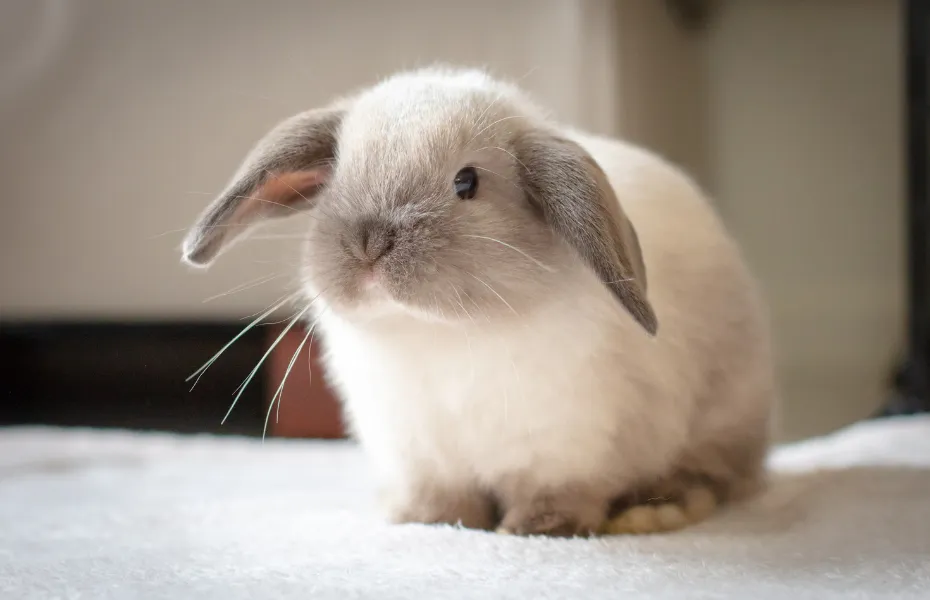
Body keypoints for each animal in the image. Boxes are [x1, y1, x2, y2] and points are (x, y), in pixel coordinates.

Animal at [181, 66, 777, 536]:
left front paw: (538, 528)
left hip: (722, 420)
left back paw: (653, 512)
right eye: (336, 179)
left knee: (714, 478)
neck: (436, 333)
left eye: (466, 182)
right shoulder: (419, 454)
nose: (368, 242)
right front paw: (431, 521)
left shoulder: (565, 448)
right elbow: (442, 498)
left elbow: (559, 494)